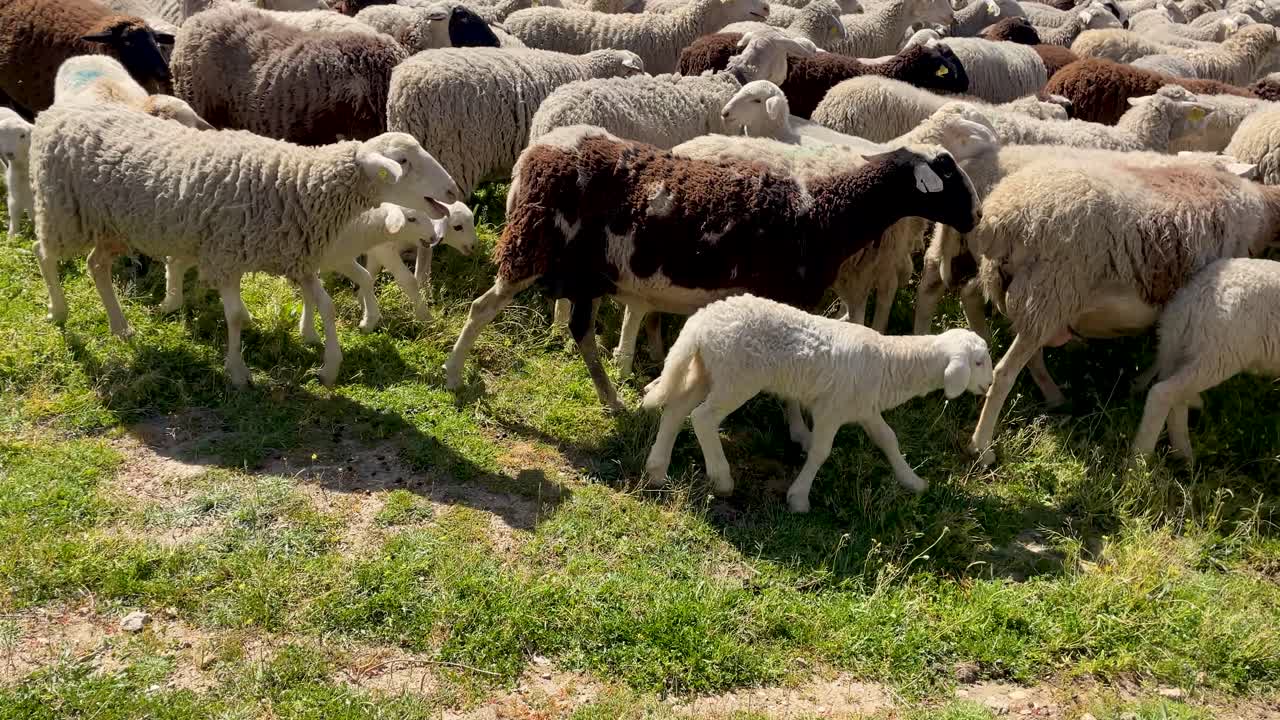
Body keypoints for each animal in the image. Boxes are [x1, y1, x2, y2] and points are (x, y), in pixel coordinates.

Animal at [30, 104, 461, 387]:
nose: (453, 190)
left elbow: (326, 305)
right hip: (59, 210)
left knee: (96, 265)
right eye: (402, 161)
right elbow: (235, 317)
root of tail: (55, 112)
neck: (295, 185)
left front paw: (329, 365)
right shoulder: (226, 257)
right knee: (44, 255)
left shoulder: (297, 258)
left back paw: (121, 328)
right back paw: (59, 311)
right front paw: (238, 372)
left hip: (112, 227)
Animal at [442, 125, 982, 409]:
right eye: (949, 174)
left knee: (581, 331)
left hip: (586, 273)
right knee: (481, 308)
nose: (976, 216)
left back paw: (613, 399)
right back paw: (452, 375)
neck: (822, 212)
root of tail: (534, 154)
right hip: (530, 249)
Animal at [640, 294, 992, 512]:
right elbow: (821, 452)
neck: (888, 362)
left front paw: (912, 481)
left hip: (709, 370)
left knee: (676, 408)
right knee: (702, 417)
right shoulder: (830, 410)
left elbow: (888, 440)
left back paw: (656, 471)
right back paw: (722, 479)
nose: (989, 385)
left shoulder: (864, 409)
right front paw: (799, 498)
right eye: (978, 362)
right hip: (737, 377)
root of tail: (701, 320)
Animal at [1132, 259, 1280, 461]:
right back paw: (1139, 459)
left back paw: (1183, 456)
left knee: (1177, 398)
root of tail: (1190, 298)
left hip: (1183, 350)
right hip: (1217, 355)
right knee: (1161, 393)